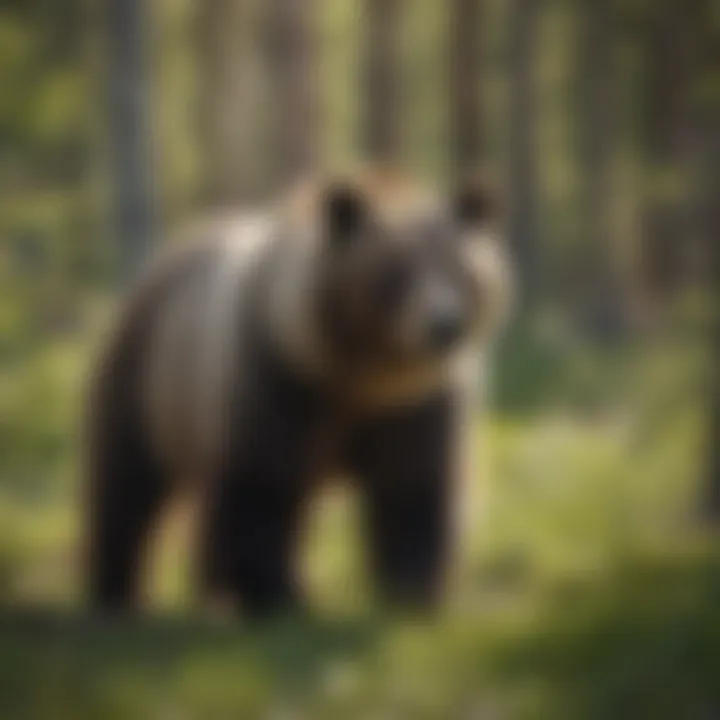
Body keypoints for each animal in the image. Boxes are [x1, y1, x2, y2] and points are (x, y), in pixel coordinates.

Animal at [84, 166, 512, 616]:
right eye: (395, 272)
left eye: (462, 271)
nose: (443, 325)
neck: (358, 376)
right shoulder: (277, 378)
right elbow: (262, 484)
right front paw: (275, 590)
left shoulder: (415, 404)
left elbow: (413, 484)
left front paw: (411, 587)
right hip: (147, 381)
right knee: (126, 488)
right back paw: (117, 592)